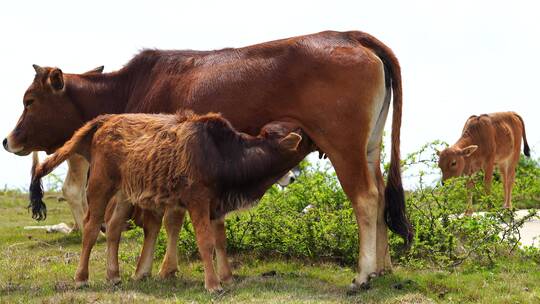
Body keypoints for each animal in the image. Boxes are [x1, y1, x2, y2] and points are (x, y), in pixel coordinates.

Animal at [29, 110, 314, 290]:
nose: (293, 178)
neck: (222, 153)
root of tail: (106, 120)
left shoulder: (217, 206)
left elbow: (220, 242)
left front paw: (228, 278)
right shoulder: (198, 201)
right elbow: (205, 241)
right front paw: (213, 285)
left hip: (125, 193)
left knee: (113, 228)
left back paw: (114, 275)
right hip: (100, 186)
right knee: (90, 227)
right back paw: (81, 277)